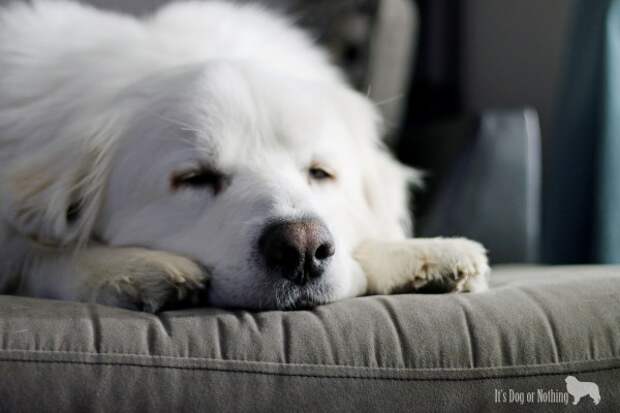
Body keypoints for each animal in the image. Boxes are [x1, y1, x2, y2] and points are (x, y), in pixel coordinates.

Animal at [0, 0, 490, 308]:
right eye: (195, 178)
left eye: (320, 173)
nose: (303, 248)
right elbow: (35, 251)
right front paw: (128, 267)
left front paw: (421, 254)